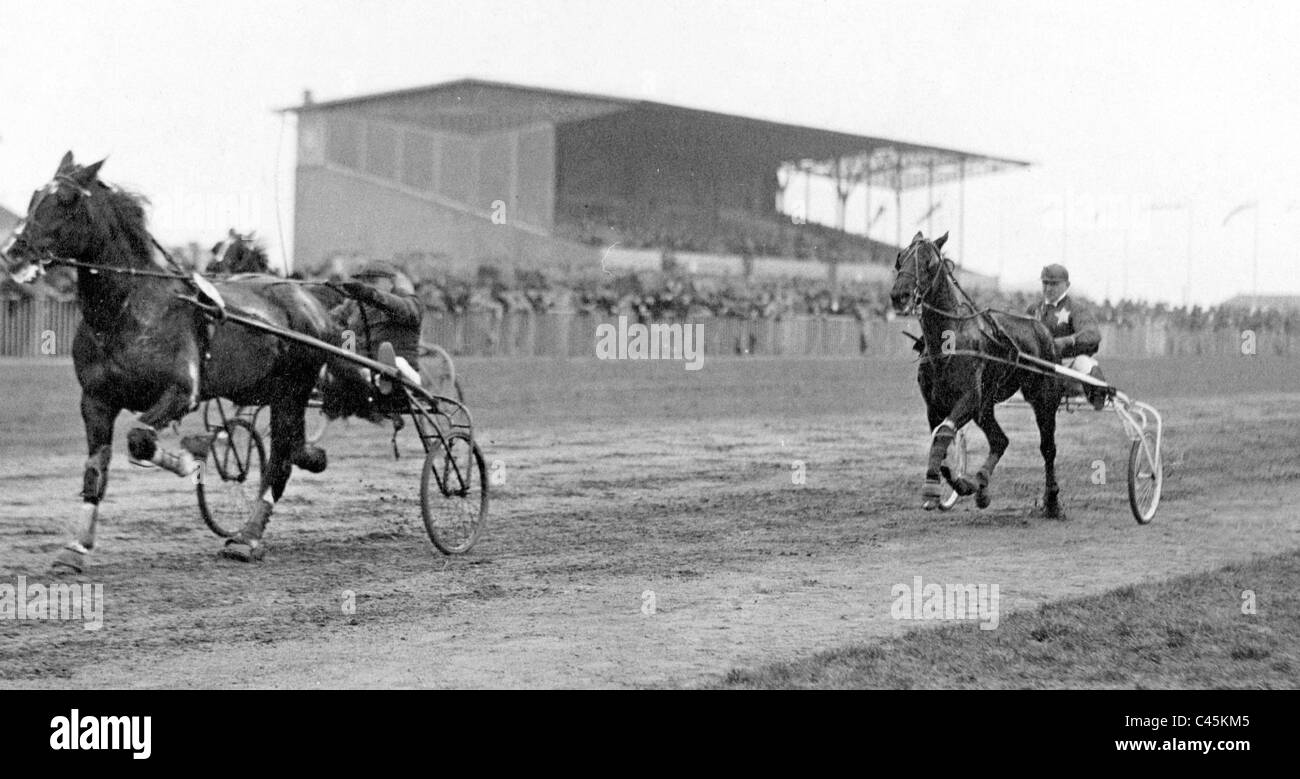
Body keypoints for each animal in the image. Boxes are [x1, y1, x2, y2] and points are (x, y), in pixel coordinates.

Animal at [1, 152, 371, 569]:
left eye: (66, 199)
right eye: (34, 195)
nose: (14, 253)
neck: (126, 309)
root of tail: (312, 304)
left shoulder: (182, 391)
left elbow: (140, 438)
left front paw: (192, 459)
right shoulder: (95, 400)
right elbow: (96, 467)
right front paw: (75, 548)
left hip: (292, 391)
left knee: (279, 462)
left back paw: (246, 538)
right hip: (273, 391)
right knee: (293, 450)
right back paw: (307, 462)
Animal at [894, 234, 1066, 520]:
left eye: (929, 263)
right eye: (900, 258)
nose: (900, 295)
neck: (949, 341)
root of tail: (1041, 326)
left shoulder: (969, 398)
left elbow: (943, 435)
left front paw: (931, 491)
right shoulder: (934, 405)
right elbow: (941, 444)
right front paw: (962, 484)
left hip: (1043, 397)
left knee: (1048, 447)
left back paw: (1051, 501)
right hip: (985, 407)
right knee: (1000, 440)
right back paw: (981, 485)